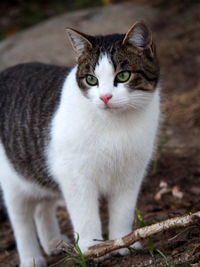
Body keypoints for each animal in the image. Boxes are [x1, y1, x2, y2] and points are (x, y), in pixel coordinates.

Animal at [0, 22, 160, 266]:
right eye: (91, 79)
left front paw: (123, 242)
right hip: (13, 180)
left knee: (42, 208)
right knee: (22, 221)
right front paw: (92, 248)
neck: (115, 124)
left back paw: (53, 243)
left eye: (123, 76)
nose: (105, 97)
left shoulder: (130, 173)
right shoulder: (75, 175)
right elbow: (85, 215)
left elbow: (123, 211)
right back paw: (32, 258)